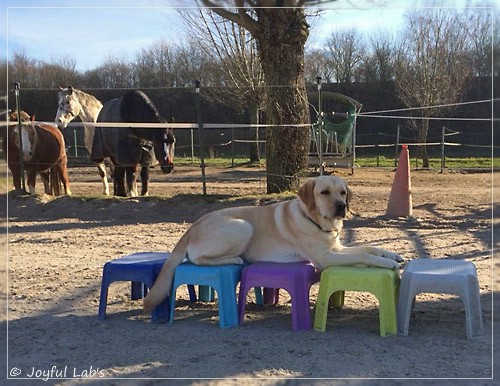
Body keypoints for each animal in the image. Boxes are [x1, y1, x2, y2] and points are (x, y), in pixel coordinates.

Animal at [143, 176, 400, 312]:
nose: (341, 206)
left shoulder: (337, 248)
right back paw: (235, 258)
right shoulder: (325, 258)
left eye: (343, 192)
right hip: (242, 226)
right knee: (197, 259)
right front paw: (387, 264)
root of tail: (191, 227)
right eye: (324, 192)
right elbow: (364, 255)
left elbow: (369, 248)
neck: (317, 221)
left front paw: (392, 255)